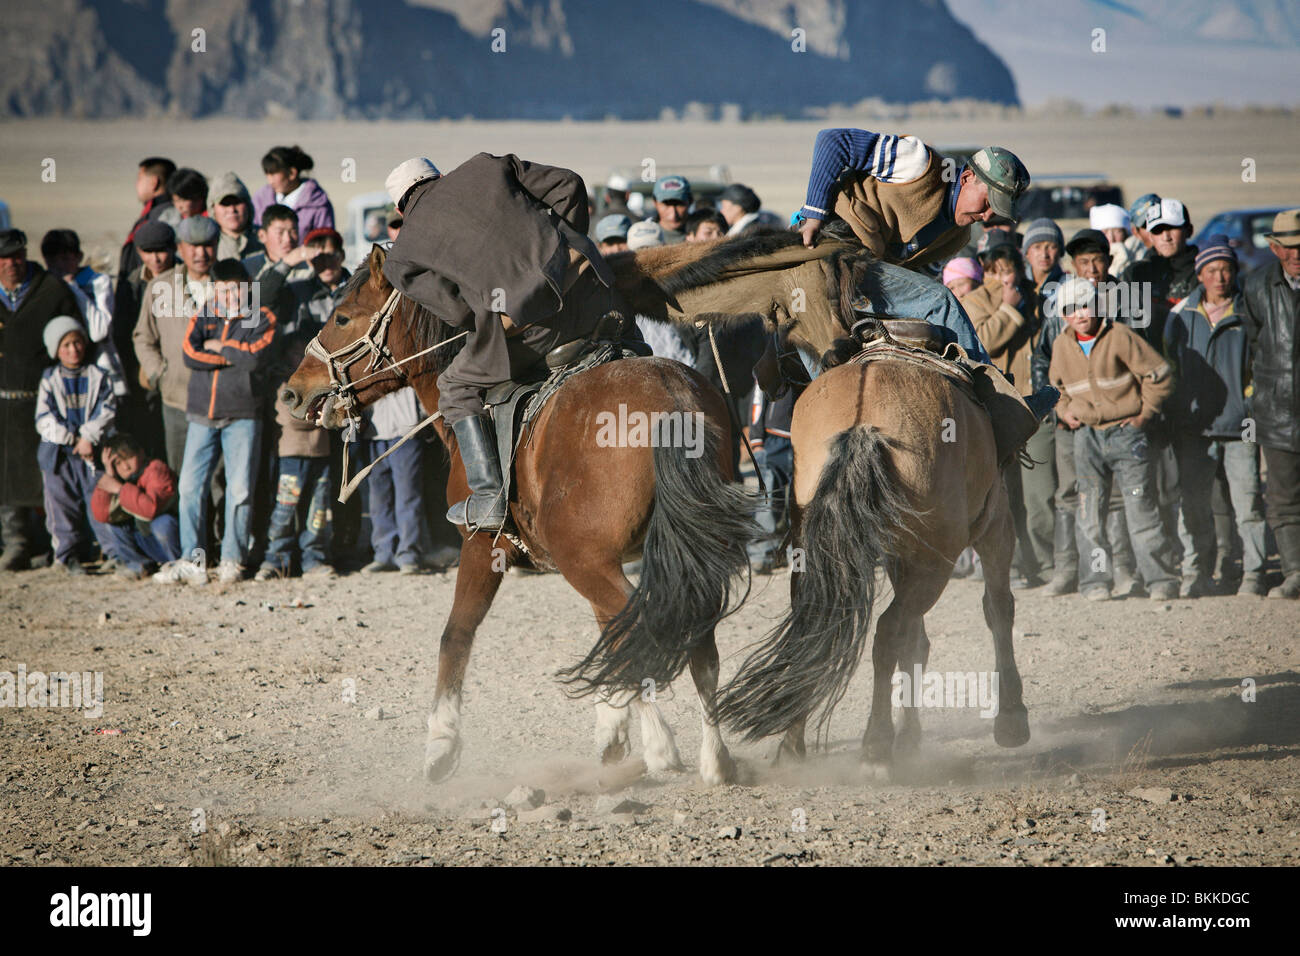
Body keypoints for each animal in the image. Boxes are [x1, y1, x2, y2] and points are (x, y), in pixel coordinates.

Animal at [279, 244, 759, 785]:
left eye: (342, 316)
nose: (293, 392)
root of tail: (670, 400)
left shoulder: (482, 545)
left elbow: (456, 635)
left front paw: (441, 743)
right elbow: (611, 636)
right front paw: (614, 727)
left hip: (581, 560)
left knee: (643, 628)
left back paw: (665, 746)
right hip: (665, 560)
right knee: (689, 642)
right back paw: (714, 756)